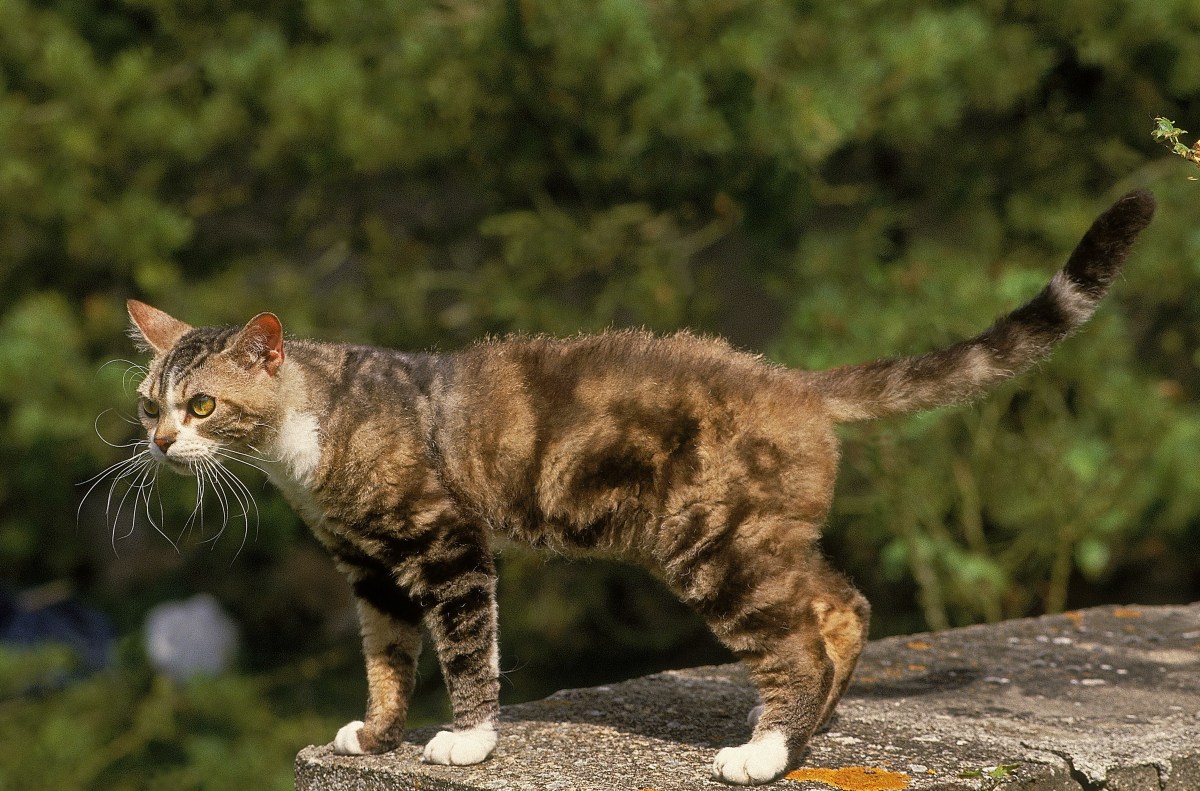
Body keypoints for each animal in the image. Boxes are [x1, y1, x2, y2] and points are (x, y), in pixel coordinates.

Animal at [119, 187, 1152, 787]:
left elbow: (466, 648)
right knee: (841, 604)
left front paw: (466, 741)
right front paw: (376, 738)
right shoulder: (370, 570)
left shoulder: (449, 544)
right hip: (763, 535)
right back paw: (804, 730)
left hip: (712, 541)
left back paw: (764, 751)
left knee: (798, 631)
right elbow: (385, 657)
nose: (163, 442)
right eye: (147, 403)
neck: (311, 438)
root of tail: (795, 379)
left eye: (203, 404)